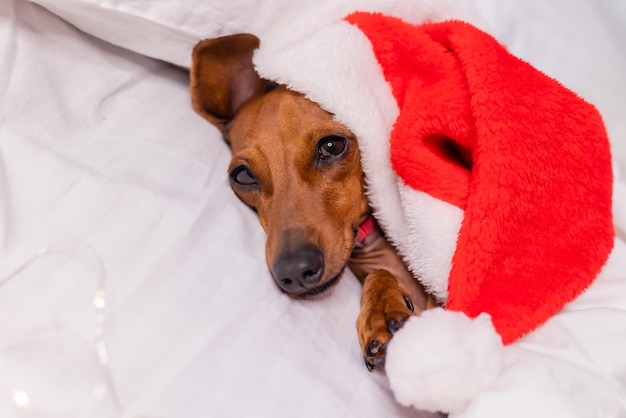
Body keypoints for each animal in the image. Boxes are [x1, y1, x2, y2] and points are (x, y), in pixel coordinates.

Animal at [189, 34, 434, 370]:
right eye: (242, 175)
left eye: (332, 146)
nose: (295, 271)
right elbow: (380, 275)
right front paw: (381, 309)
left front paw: (384, 307)